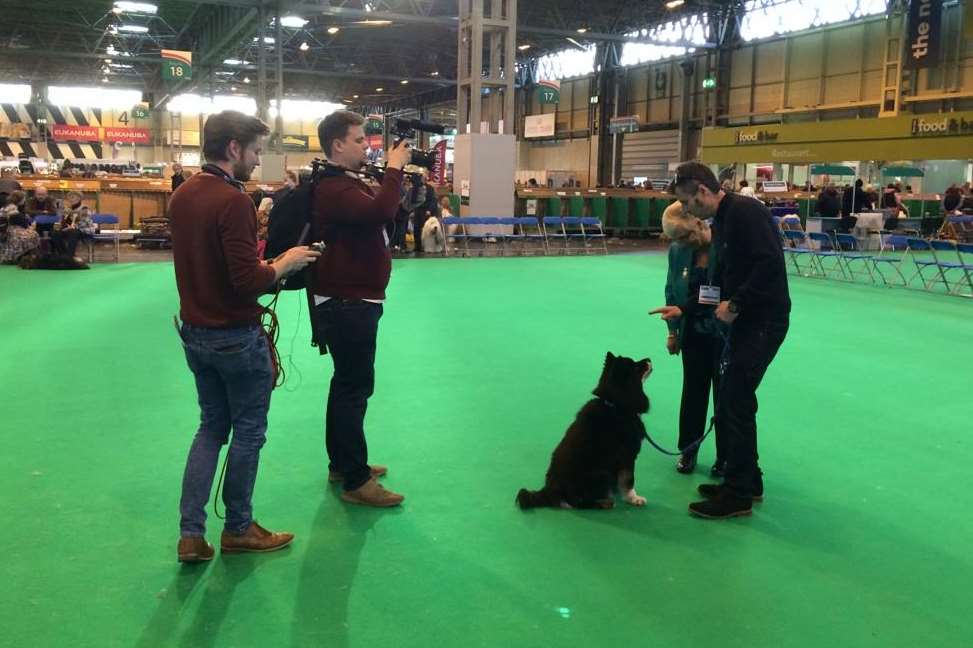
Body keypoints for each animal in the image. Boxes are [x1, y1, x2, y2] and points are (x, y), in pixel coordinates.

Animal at [516, 352, 652, 508]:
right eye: (636, 366)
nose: (649, 359)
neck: (615, 404)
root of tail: (550, 490)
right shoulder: (627, 455)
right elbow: (629, 480)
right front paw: (634, 498)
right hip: (601, 473)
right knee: (577, 502)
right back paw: (604, 502)